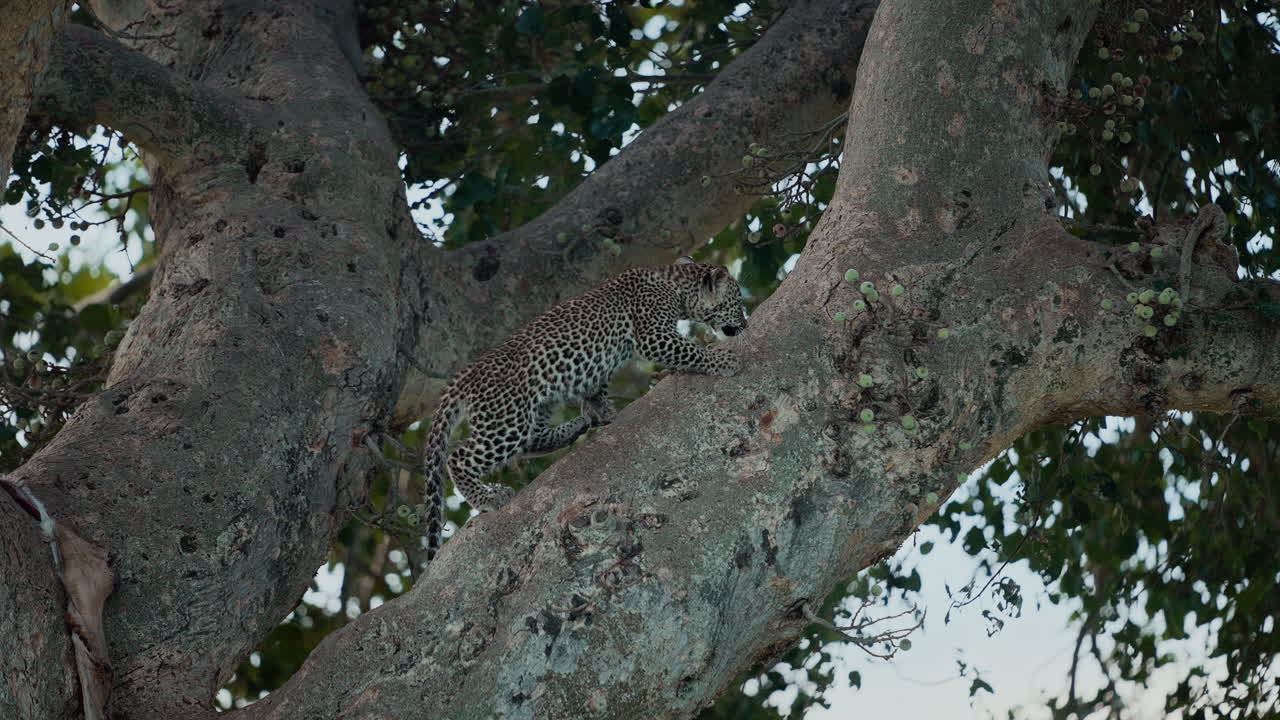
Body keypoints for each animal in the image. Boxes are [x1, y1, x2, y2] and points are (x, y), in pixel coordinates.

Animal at [419, 257, 747, 562]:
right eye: (737, 302)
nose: (745, 325)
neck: (676, 285)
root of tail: (465, 375)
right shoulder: (654, 336)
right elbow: (691, 351)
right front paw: (724, 361)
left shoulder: (599, 369)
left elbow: (595, 391)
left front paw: (604, 413)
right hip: (506, 417)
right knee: (460, 457)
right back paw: (487, 497)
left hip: (536, 405)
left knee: (530, 441)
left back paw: (574, 428)